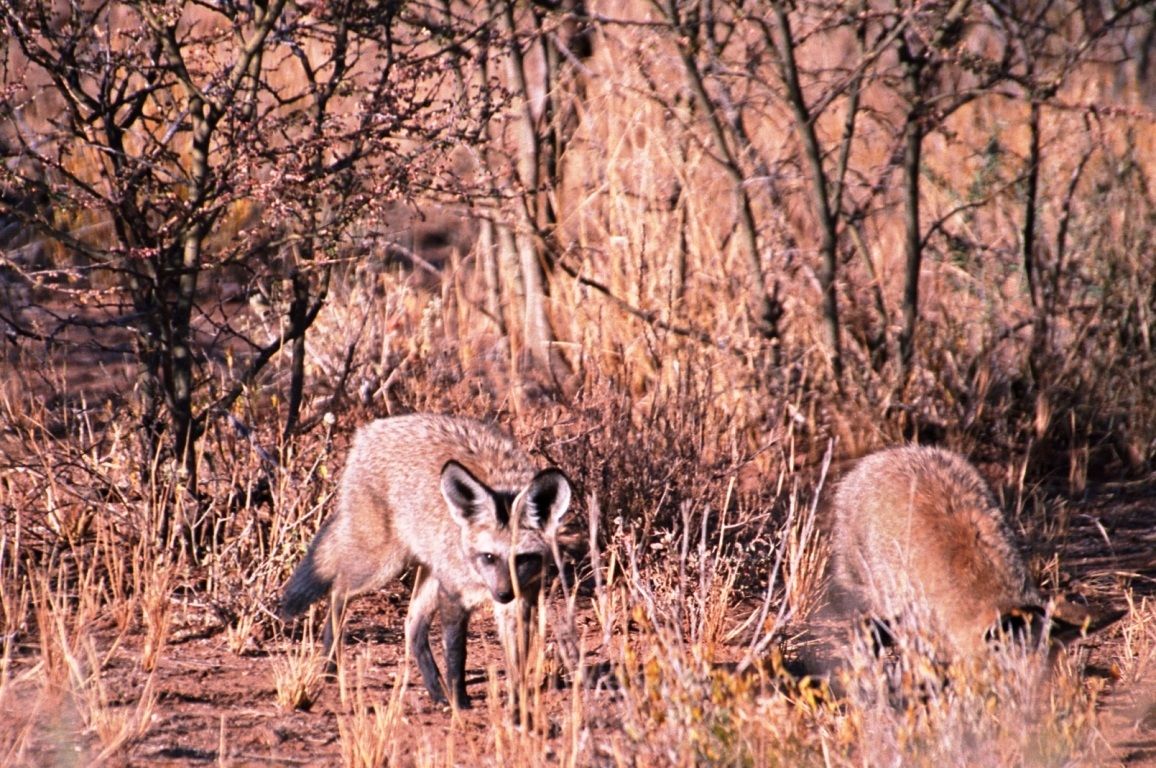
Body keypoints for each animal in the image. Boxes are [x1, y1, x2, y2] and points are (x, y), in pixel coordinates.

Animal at [279, 413, 573, 708]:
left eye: (522, 559)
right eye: (489, 557)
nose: (503, 594)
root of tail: (370, 429)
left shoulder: (521, 602)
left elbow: (517, 662)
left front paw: (517, 701)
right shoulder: (453, 594)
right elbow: (456, 655)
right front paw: (460, 701)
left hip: (428, 575)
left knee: (412, 627)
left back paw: (436, 692)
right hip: (383, 566)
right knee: (338, 590)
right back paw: (330, 665)